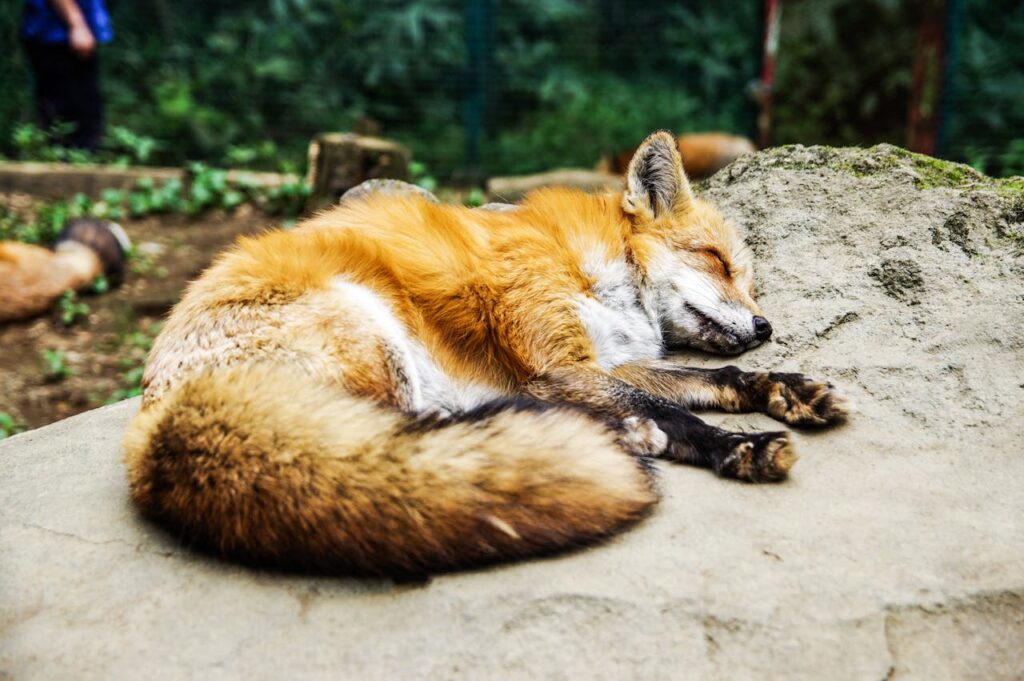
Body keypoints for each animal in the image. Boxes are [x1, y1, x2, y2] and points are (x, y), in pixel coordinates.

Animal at [123, 131, 849, 577]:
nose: (764, 324)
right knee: (405, 442)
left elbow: (717, 378)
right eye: (718, 261)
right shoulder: (556, 365)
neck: (594, 268)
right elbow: (679, 414)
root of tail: (154, 419)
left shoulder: (602, 363)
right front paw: (740, 445)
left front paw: (785, 388)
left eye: (749, 281)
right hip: (370, 334)